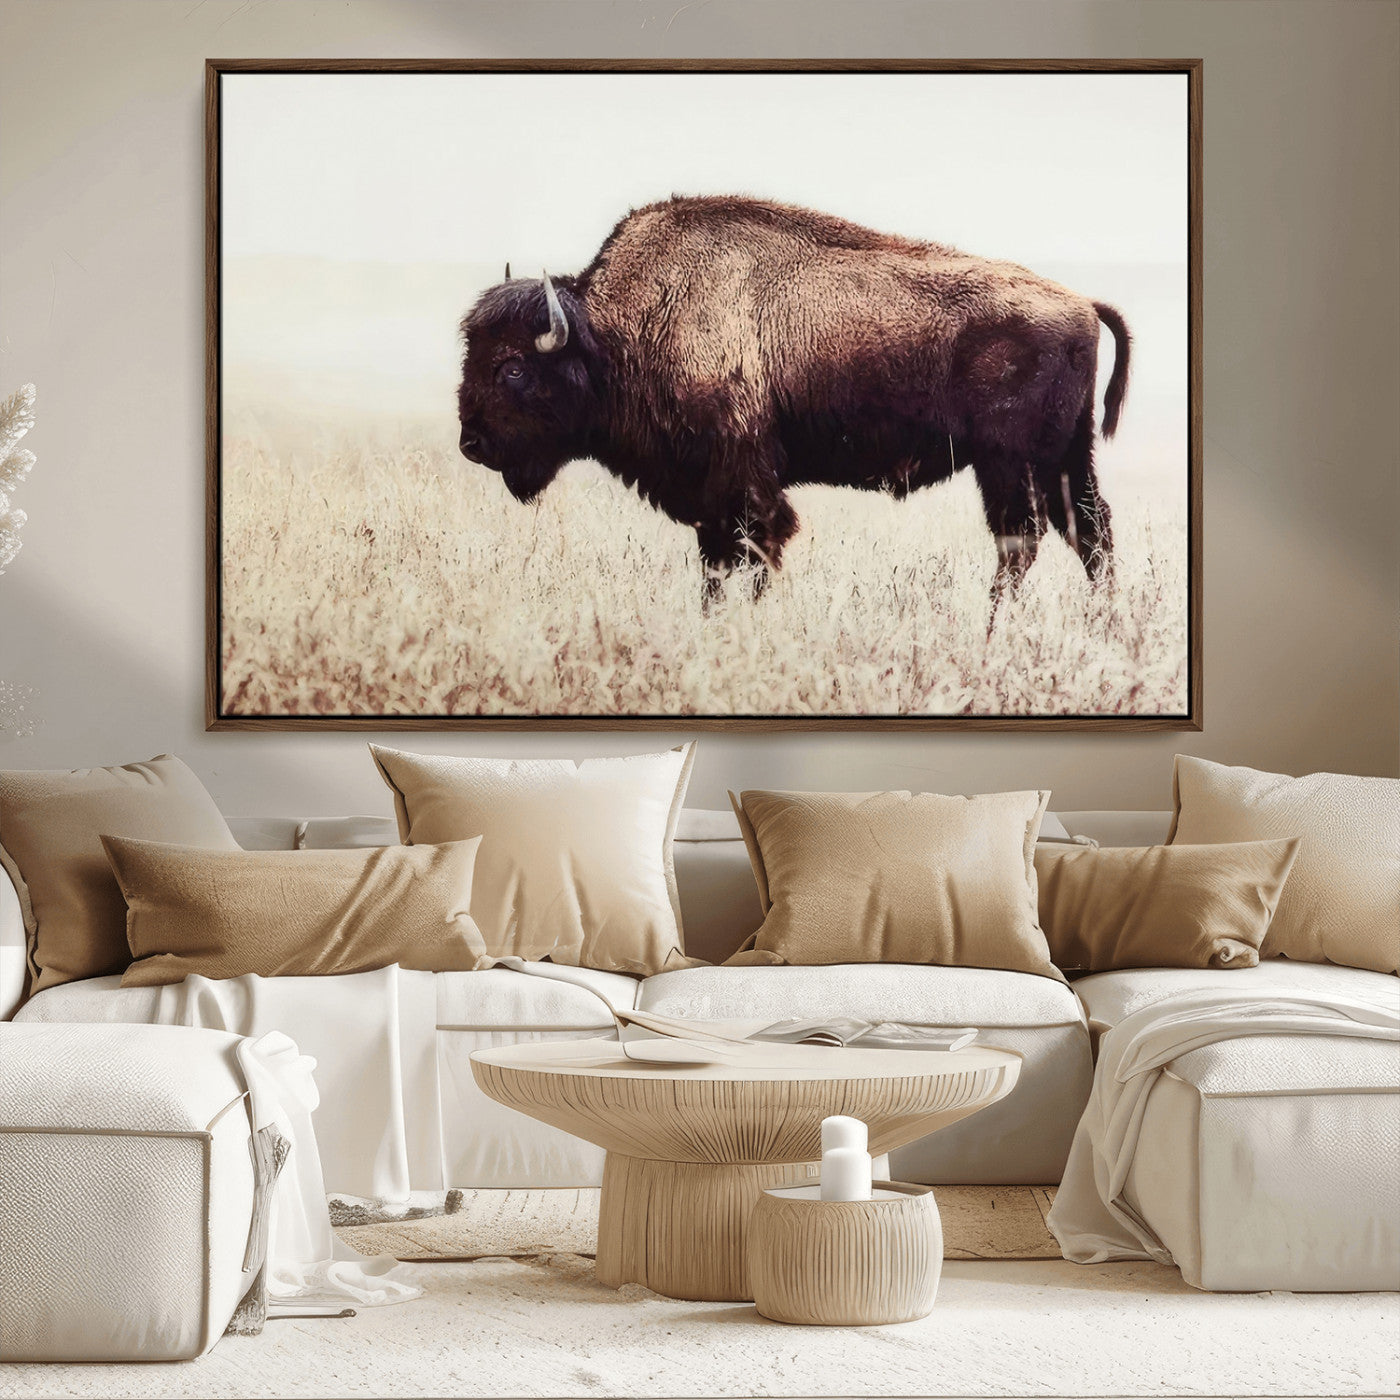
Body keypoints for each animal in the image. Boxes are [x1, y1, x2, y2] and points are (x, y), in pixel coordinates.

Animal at [457, 195, 1129, 610]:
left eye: (512, 367)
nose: (471, 444)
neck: (616, 333)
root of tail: (1081, 303)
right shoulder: (712, 499)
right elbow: (717, 565)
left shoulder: (744, 484)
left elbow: (754, 552)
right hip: (1066, 459)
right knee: (1088, 534)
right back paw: (1102, 626)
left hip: (1009, 463)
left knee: (1023, 540)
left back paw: (992, 630)